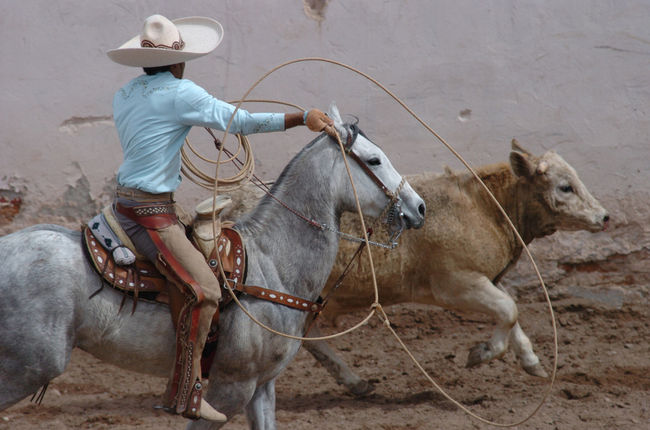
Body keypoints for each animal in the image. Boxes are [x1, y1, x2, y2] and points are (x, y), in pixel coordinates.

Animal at [0, 105, 426, 430]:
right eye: (374, 160)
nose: (419, 206)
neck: (271, 263)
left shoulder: (261, 387)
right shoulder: (228, 390)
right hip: (28, 367)